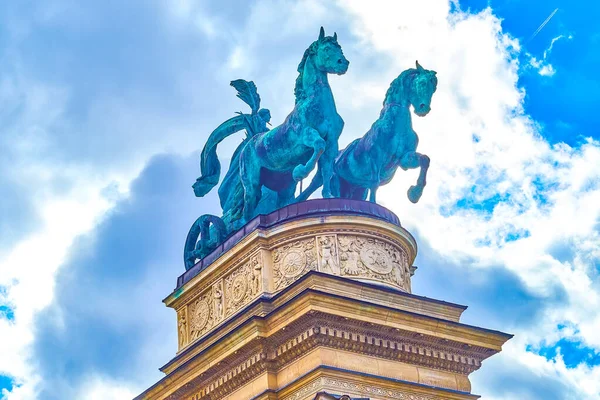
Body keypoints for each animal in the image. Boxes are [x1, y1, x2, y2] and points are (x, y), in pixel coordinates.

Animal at [239, 27, 350, 222]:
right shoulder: (305, 134)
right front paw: (300, 172)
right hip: (251, 184)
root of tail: (247, 146)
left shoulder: (332, 142)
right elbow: (318, 146)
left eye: (339, 48)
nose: (343, 63)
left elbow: (326, 168)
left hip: (283, 186)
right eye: (326, 48)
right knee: (247, 211)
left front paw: (328, 195)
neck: (316, 103)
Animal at [298, 61, 436, 205]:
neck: (397, 128)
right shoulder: (375, 157)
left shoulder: (405, 157)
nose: (423, 108)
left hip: (356, 189)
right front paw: (375, 203)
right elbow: (374, 182)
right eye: (422, 83)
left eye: (434, 88)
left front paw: (414, 193)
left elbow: (424, 159)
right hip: (335, 180)